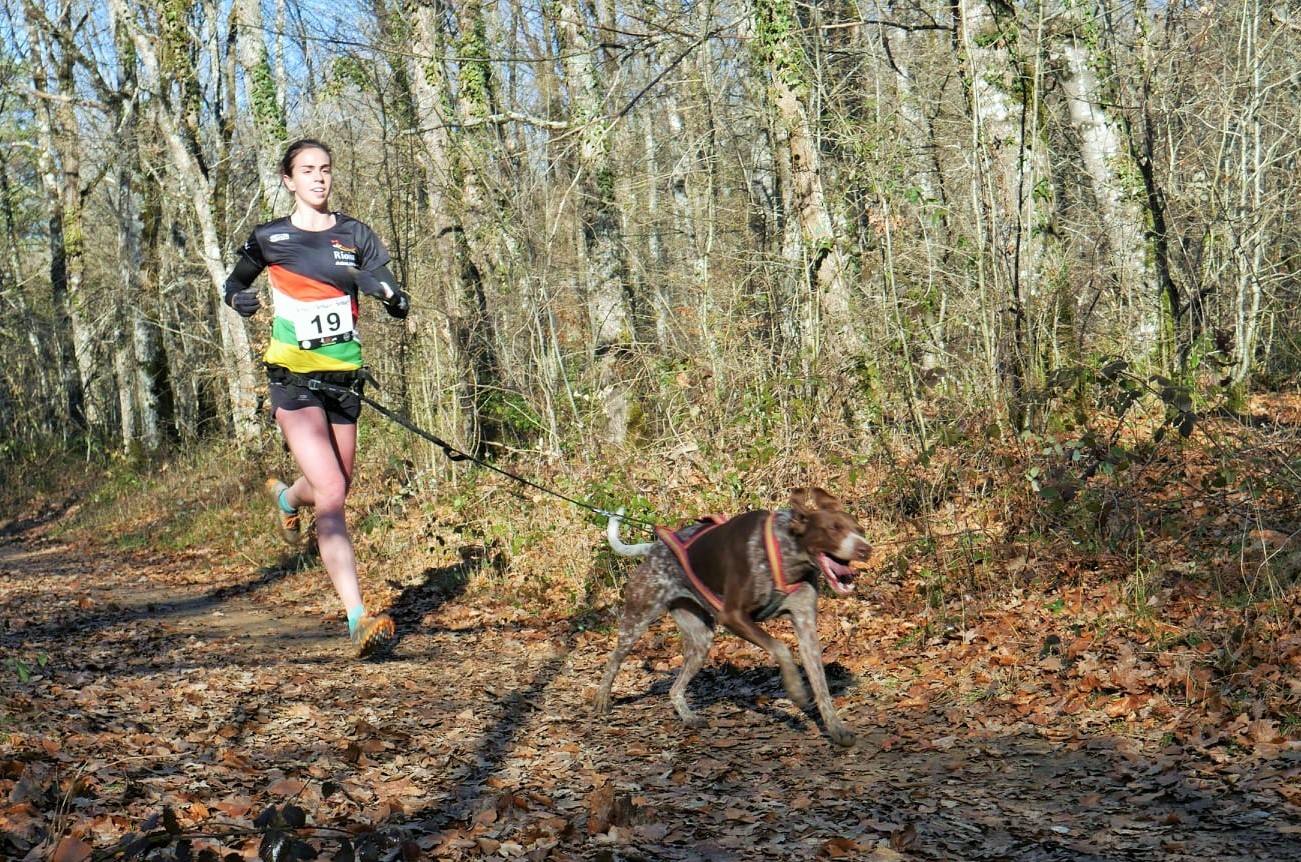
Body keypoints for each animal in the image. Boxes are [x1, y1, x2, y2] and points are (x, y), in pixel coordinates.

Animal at [598, 488, 874, 743]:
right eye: (833, 529)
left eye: (859, 529)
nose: (866, 549)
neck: (784, 552)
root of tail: (654, 548)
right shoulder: (733, 616)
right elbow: (781, 648)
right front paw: (795, 688)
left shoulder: (806, 626)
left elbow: (820, 685)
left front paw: (836, 728)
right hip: (637, 620)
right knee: (614, 661)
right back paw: (601, 700)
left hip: (700, 640)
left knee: (675, 689)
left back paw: (688, 716)